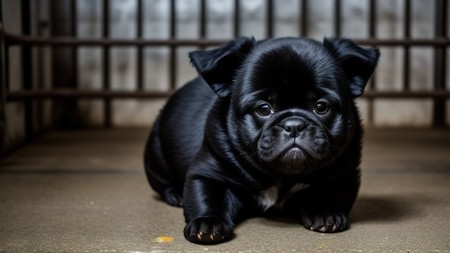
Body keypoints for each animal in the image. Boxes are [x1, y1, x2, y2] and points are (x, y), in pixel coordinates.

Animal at [144, 36, 380, 244]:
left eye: (321, 107)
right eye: (264, 109)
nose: (294, 125)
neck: (281, 176)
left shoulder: (343, 173)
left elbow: (331, 192)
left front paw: (326, 212)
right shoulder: (207, 173)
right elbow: (207, 197)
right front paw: (207, 223)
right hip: (156, 156)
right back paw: (175, 194)